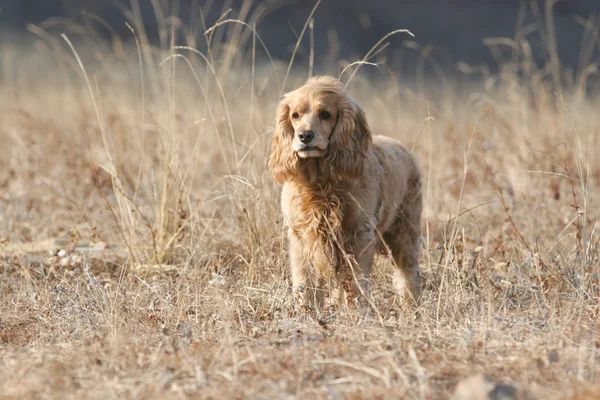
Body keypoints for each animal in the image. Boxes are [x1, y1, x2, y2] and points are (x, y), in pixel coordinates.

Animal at [268, 76, 422, 310]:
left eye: (325, 114)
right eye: (295, 115)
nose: (304, 136)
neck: (322, 183)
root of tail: (401, 147)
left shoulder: (359, 237)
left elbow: (357, 283)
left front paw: (357, 311)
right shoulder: (301, 238)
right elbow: (305, 281)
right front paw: (307, 311)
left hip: (405, 235)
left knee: (408, 274)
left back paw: (411, 306)